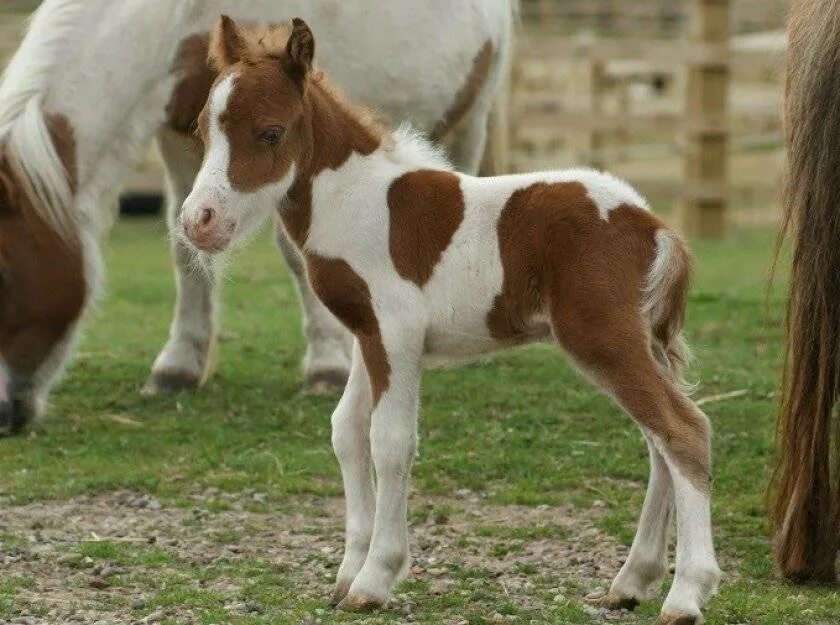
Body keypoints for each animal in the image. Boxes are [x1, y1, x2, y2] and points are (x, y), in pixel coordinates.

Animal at [0, 0, 516, 434]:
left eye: (6, 274)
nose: (3, 416)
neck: (177, 17)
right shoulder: (180, 135)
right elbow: (183, 246)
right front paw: (177, 366)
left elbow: (296, 251)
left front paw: (326, 366)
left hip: (470, 119)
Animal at [182, 17, 720, 620]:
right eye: (202, 130)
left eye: (271, 133)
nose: (198, 222)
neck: (356, 203)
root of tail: (653, 226)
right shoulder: (368, 334)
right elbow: (346, 430)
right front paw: (347, 573)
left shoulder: (397, 333)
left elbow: (390, 441)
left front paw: (375, 579)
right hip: (637, 342)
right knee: (658, 442)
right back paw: (632, 580)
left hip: (602, 337)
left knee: (682, 430)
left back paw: (686, 593)